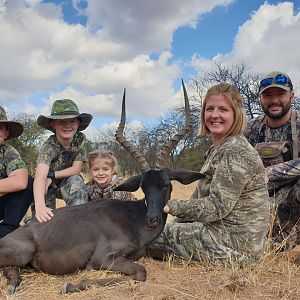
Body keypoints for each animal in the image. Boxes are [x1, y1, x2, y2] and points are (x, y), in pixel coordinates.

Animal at [0, 81, 204, 294]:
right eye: (143, 186)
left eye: (166, 184)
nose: (152, 219)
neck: (134, 220)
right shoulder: (103, 258)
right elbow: (140, 273)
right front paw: (70, 285)